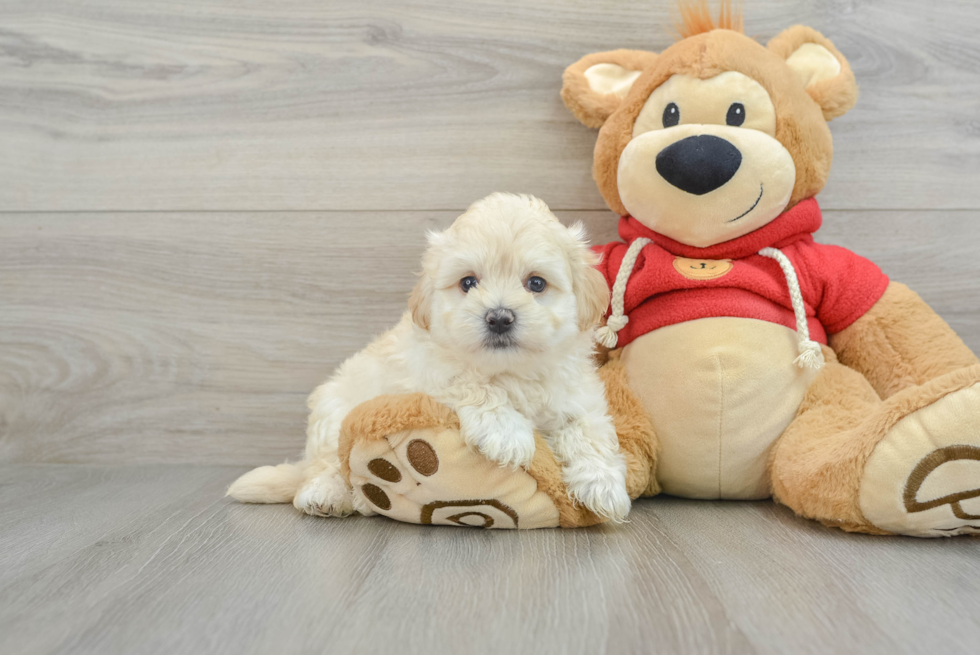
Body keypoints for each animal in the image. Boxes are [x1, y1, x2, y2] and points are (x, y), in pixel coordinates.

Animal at [227, 191, 632, 524]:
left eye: (536, 283)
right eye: (468, 282)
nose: (499, 317)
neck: (509, 371)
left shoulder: (576, 393)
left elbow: (589, 430)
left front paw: (604, 484)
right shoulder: (428, 373)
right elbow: (471, 385)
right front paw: (508, 433)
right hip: (333, 413)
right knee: (329, 464)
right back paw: (328, 494)